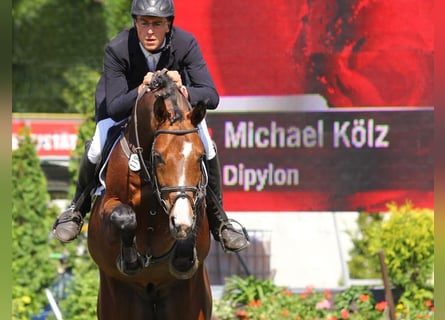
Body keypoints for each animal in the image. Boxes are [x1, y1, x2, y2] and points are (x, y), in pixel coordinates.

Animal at [87, 70, 212, 320]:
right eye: (158, 157)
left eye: (201, 157)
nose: (180, 220)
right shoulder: (107, 207)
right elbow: (124, 217)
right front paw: (132, 261)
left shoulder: (195, 202)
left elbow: (193, 225)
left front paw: (183, 247)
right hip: (119, 300)